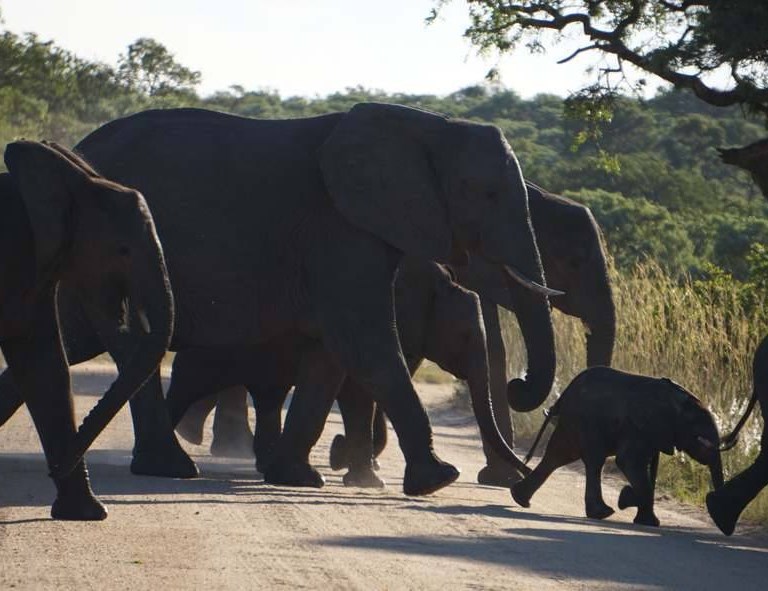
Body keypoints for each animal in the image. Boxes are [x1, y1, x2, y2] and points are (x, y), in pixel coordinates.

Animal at [512, 368, 724, 528]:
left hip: (572, 421)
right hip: (585, 421)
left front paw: (645, 518)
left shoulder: (655, 433)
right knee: (590, 460)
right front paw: (627, 499)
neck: (676, 398)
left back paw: (520, 498)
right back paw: (603, 512)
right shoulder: (639, 427)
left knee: (558, 456)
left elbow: (649, 467)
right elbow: (628, 462)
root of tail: (565, 393)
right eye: (697, 431)